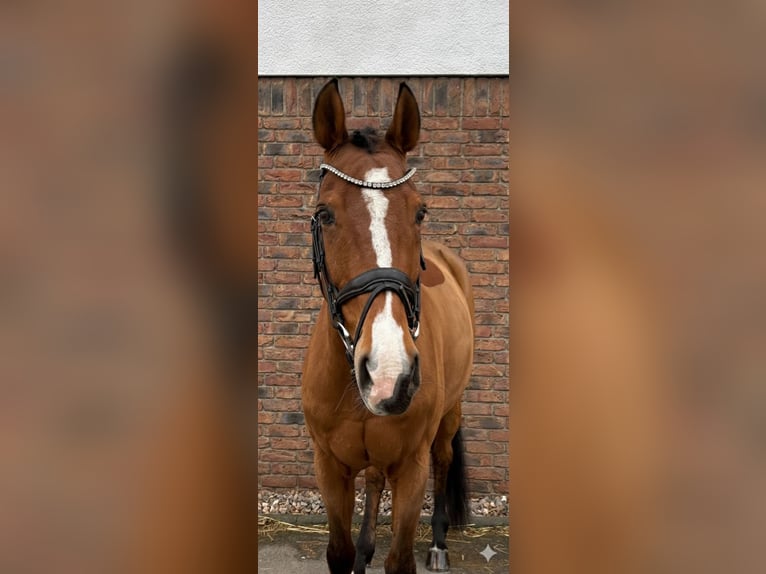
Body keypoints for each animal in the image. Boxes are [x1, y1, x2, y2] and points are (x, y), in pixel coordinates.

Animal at [301, 79, 475, 574]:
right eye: (324, 214)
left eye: (420, 212)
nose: (389, 374)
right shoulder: (330, 468)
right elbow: (339, 553)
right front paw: (357, 551)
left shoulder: (411, 469)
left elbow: (400, 560)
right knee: (375, 480)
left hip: (449, 419)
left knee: (444, 459)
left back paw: (438, 545)